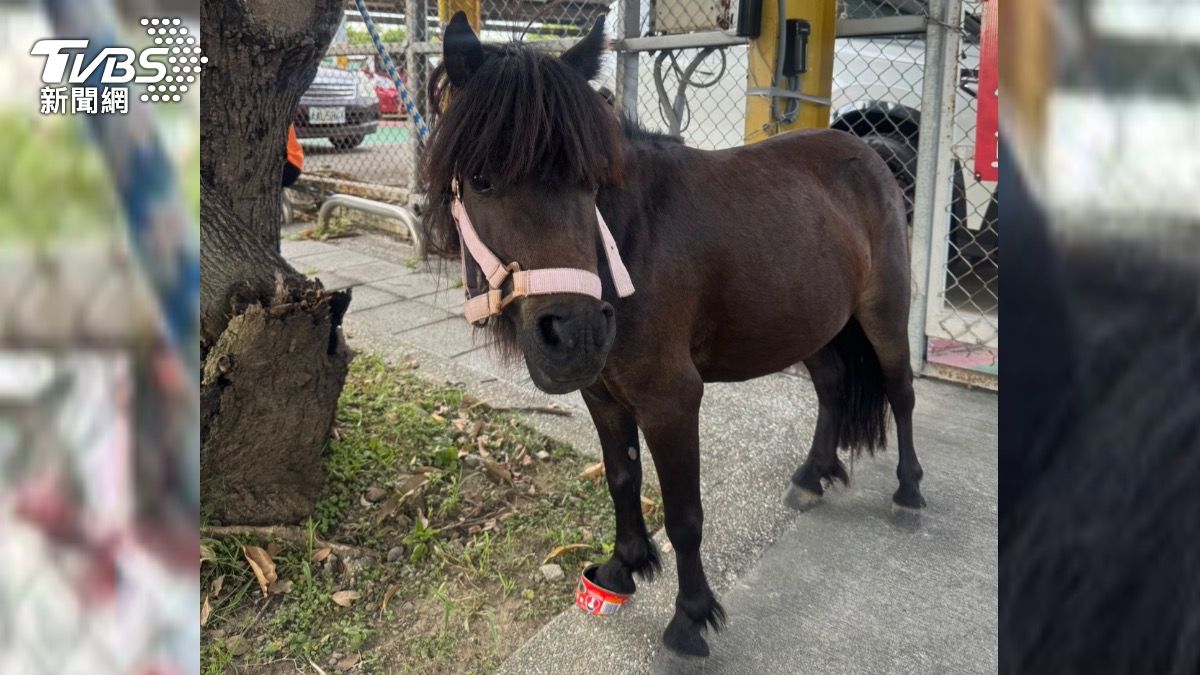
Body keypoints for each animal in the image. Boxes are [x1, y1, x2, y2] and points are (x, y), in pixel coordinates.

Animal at [421, 13, 924, 658]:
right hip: (813, 325)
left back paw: (909, 493)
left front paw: (691, 617)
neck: (631, 240)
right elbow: (622, 478)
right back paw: (812, 476)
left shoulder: (671, 400)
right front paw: (623, 567)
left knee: (901, 392)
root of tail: (867, 151)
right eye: (481, 179)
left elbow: (684, 514)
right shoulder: (603, 394)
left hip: (883, 312)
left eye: (590, 180)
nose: (577, 335)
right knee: (834, 385)